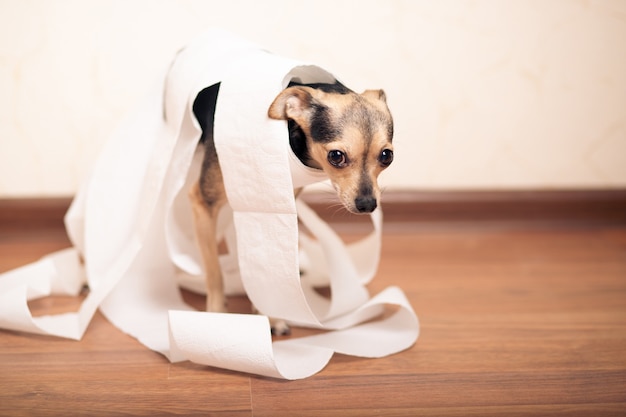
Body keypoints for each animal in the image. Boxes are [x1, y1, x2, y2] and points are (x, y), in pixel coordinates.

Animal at [188, 79, 392, 334]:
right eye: (336, 156)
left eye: (387, 156)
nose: (367, 204)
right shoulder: (203, 203)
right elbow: (215, 274)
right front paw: (216, 316)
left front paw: (270, 314)